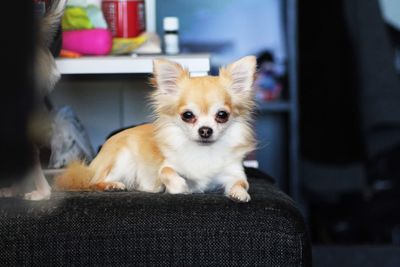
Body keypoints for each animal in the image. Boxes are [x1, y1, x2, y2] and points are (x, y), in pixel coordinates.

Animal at [54, 56, 258, 203]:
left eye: (222, 115)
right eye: (188, 115)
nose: (205, 130)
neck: (204, 151)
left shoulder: (234, 173)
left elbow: (242, 183)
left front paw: (240, 194)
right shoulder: (168, 167)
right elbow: (167, 173)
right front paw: (181, 188)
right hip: (122, 159)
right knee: (94, 182)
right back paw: (111, 185)